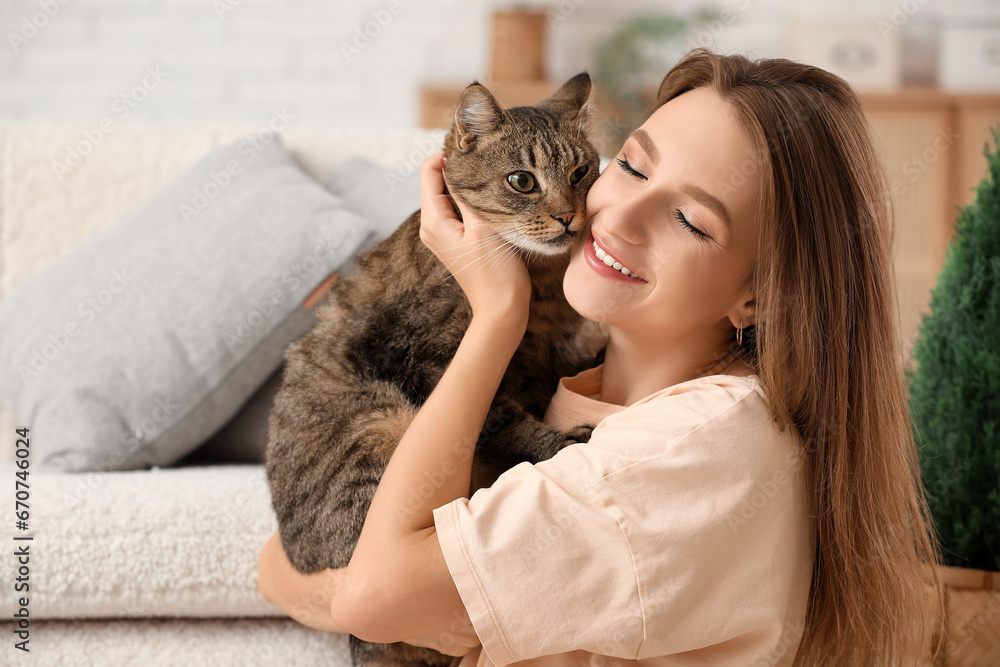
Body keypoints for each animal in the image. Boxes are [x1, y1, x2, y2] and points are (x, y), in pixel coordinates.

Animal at [268, 73, 600, 667]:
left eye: (580, 172)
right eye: (522, 181)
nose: (569, 217)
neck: (541, 286)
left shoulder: (544, 361)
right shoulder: (427, 363)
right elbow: (506, 421)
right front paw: (561, 445)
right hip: (379, 428)